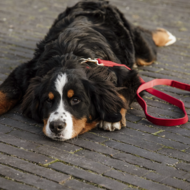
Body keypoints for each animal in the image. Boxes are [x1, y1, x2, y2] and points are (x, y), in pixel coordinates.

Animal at [0, 0, 176, 141]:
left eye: (76, 100)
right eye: (48, 100)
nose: (56, 126)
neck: (71, 55)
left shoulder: (129, 76)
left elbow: (119, 94)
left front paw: (112, 117)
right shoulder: (25, 71)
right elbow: (6, 92)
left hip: (145, 53)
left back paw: (166, 35)